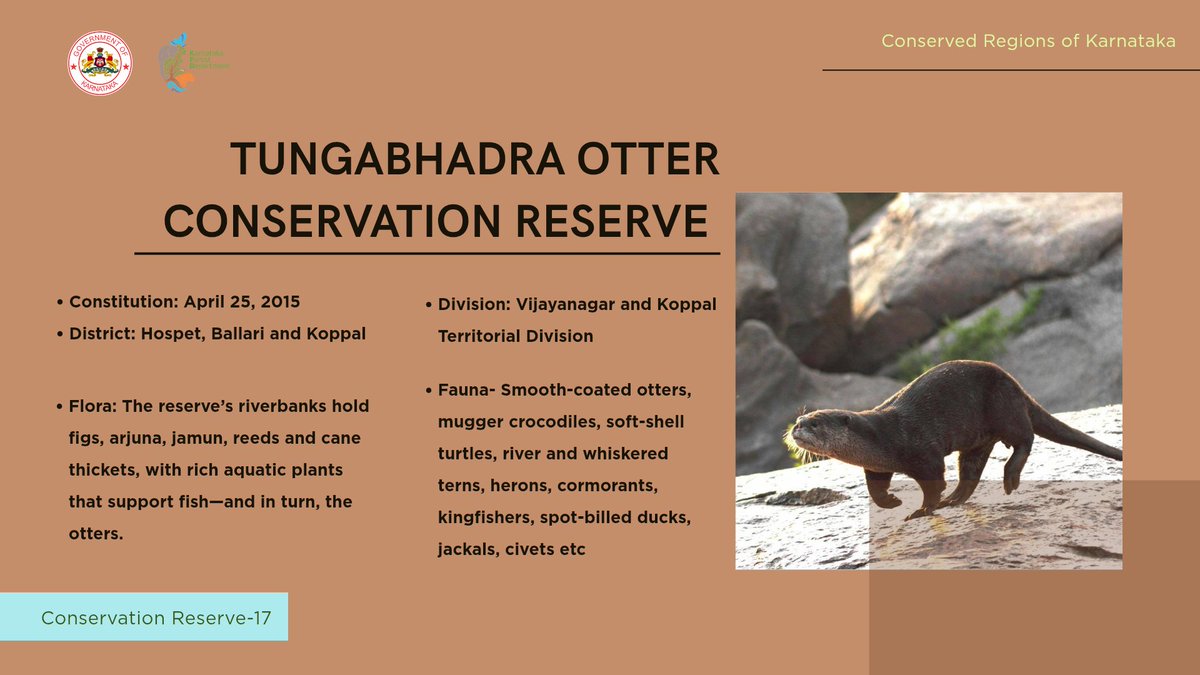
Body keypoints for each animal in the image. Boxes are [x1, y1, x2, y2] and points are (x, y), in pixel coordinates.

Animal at [788, 360, 1122, 521]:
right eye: (799, 420)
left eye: (814, 424)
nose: (795, 429)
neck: (883, 436)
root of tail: (1016, 384)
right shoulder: (877, 465)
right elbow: (876, 487)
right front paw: (892, 501)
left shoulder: (923, 452)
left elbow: (933, 482)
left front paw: (922, 510)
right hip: (978, 440)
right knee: (971, 471)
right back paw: (955, 499)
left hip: (1003, 407)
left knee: (1024, 437)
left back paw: (1010, 477)